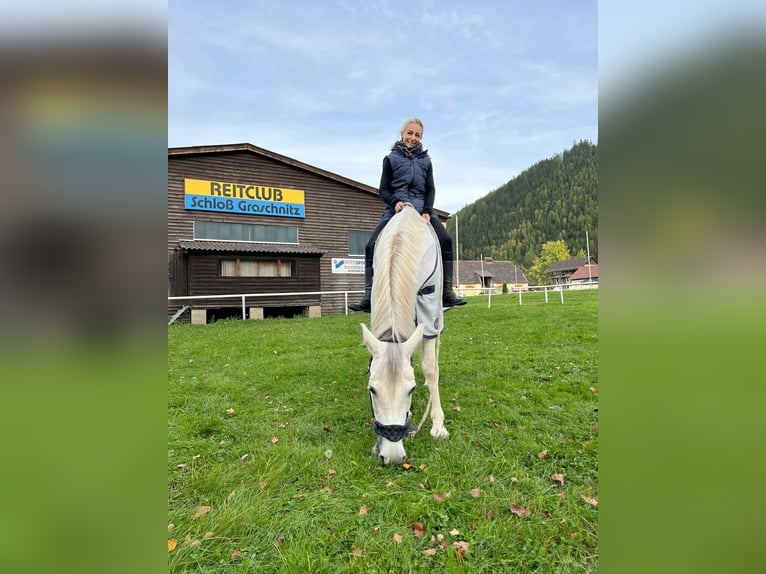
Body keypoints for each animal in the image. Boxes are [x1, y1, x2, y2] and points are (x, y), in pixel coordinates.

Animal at [362, 205, 450, 466]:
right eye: (372, 390)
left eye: (410, 390)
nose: (391, 457)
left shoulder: (429, 310)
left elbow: (430, 366)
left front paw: (438, 426)